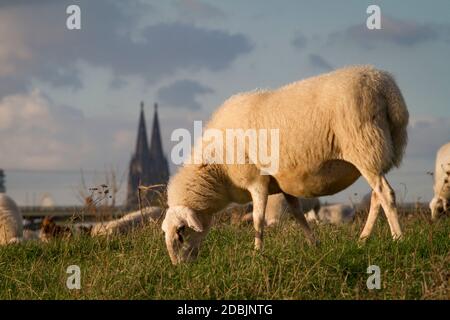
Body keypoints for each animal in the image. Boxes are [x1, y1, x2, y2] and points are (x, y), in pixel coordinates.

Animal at [162, 65, 408, 264]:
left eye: (181, 232)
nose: (179, 267)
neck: (218, 171)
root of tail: (386, 86)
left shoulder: (257, 181)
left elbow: (257, 220)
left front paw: (257, 253)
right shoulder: (283, 184)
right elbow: (298, 215)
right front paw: (315, 245)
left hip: (365, 147)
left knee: (385, 194)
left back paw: (398, 239)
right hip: (372, 154)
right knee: (376, 196)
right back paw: (363, 240)